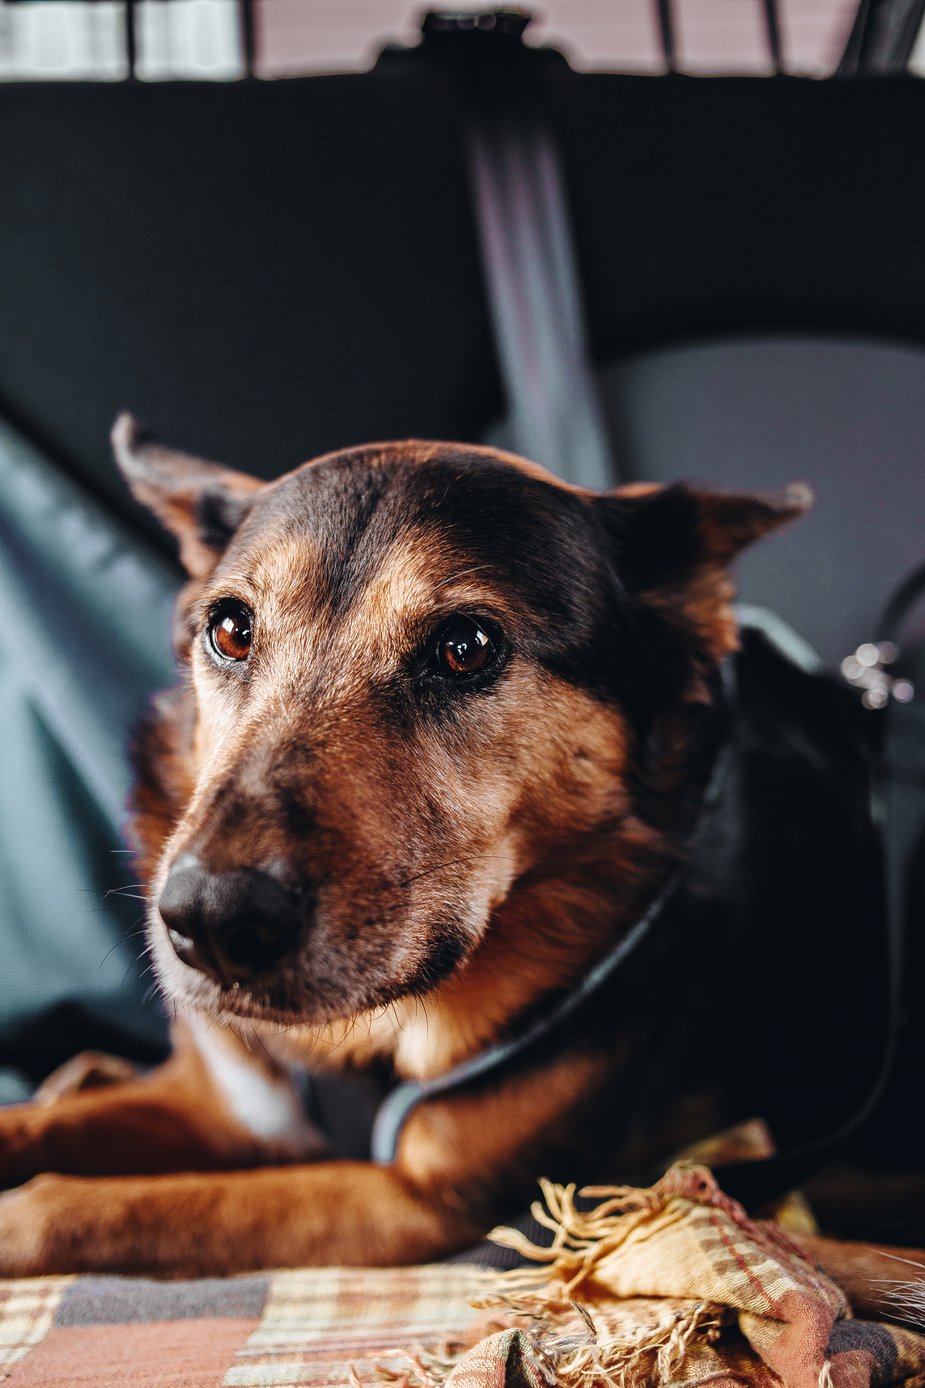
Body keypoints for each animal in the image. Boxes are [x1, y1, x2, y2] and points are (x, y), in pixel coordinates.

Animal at [0, 419, 916, 1310]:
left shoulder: (432, 1202)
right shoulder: (223, 1104)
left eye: (466, 645)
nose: (212, 924)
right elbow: (36, 1126)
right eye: (229, 630)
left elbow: (98, 1207)